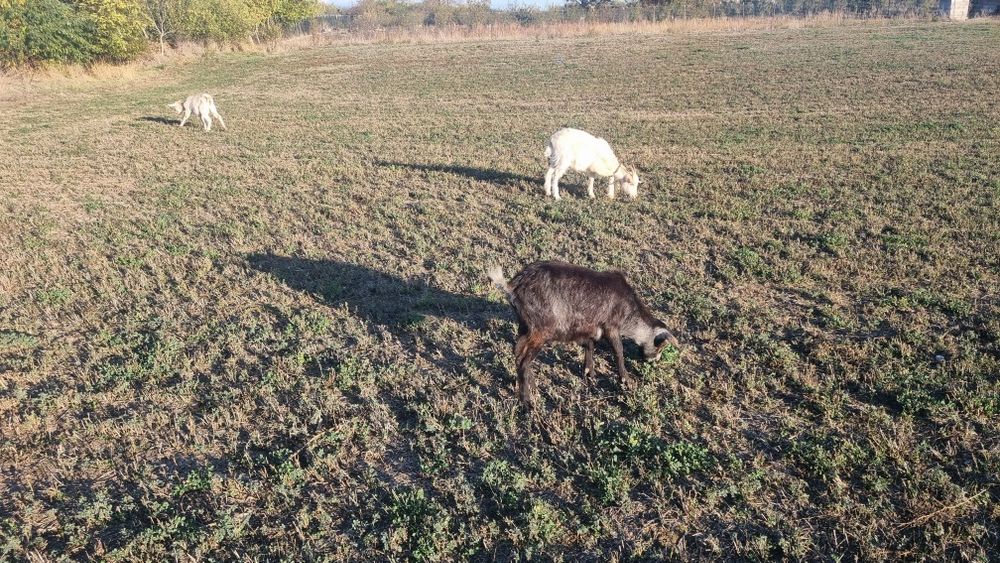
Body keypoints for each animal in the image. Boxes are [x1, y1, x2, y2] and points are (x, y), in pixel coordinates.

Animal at [489, 261, 677, 404]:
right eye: (660, 346)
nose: (653, 360)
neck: (629, 310)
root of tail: (513, 285)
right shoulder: (610, 327)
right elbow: (618, 351)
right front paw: (626, 380)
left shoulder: (584, 329)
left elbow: (589, 345)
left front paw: (589, 373)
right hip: (541, 330)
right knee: (523, 360)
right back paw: (527, 401)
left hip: (525, 327)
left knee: (518, 353)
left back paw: (532, 386)